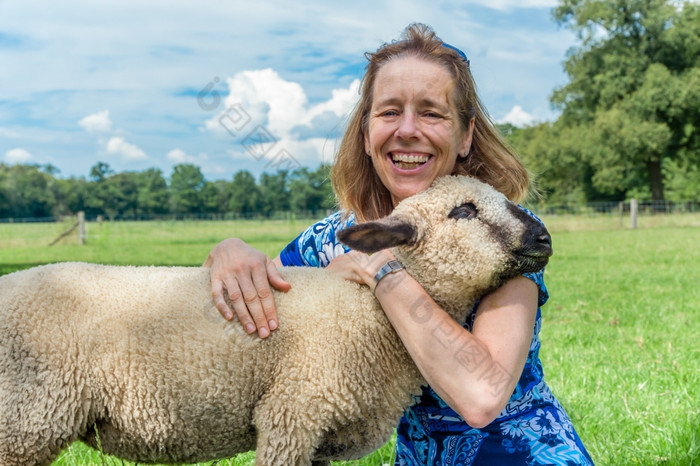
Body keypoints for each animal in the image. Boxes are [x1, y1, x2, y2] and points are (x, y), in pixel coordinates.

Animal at [0, 175, 552, 466]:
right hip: (25, 417)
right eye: (464, 211)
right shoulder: (293, 413)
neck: (368, 315)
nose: (543, 237)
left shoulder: (322, 438)